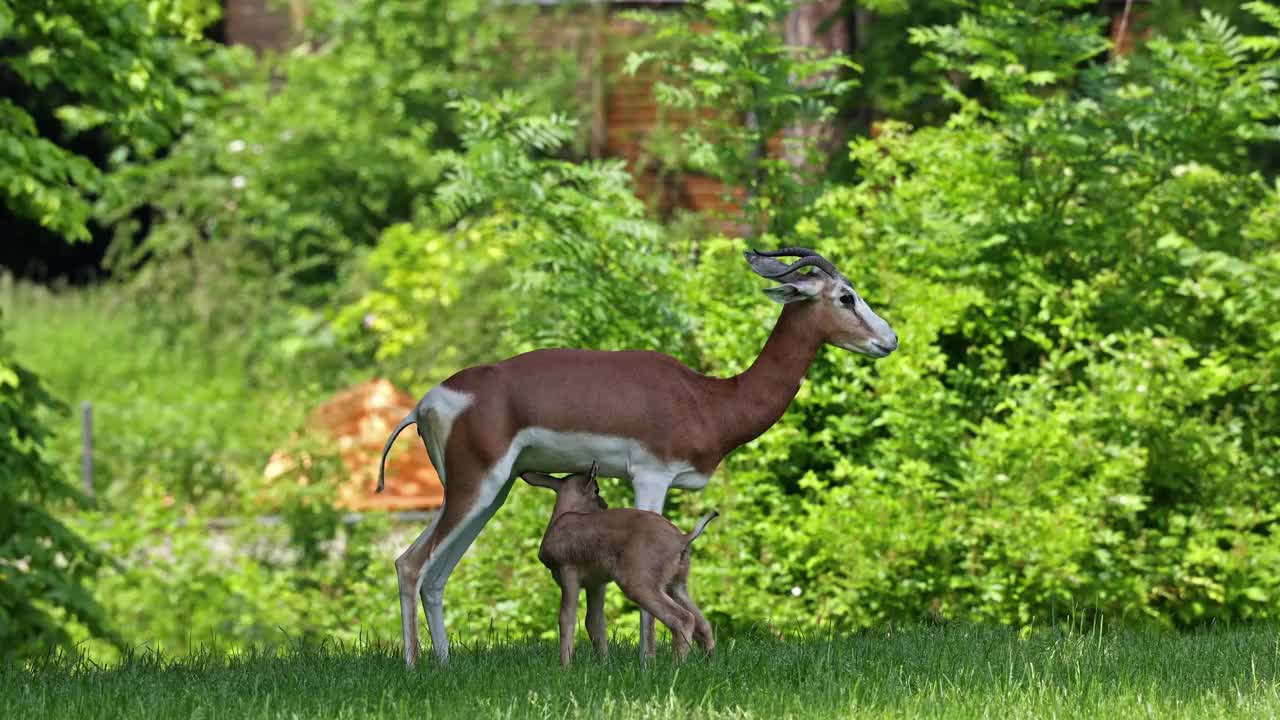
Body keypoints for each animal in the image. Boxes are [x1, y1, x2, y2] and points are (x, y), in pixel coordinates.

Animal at [522, 461, 721, 666]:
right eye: (597, 490)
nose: (605, 504)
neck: (562, 519)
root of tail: (683, 538)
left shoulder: (569, 574)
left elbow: (566, 618)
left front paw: (565, 667)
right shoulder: (596, 584)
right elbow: (594, 622)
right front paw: (604, 663)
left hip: (640, 586)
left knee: (684, 619)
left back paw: (676, 666)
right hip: (675, 585)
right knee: (703, 624)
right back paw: (709, 665)